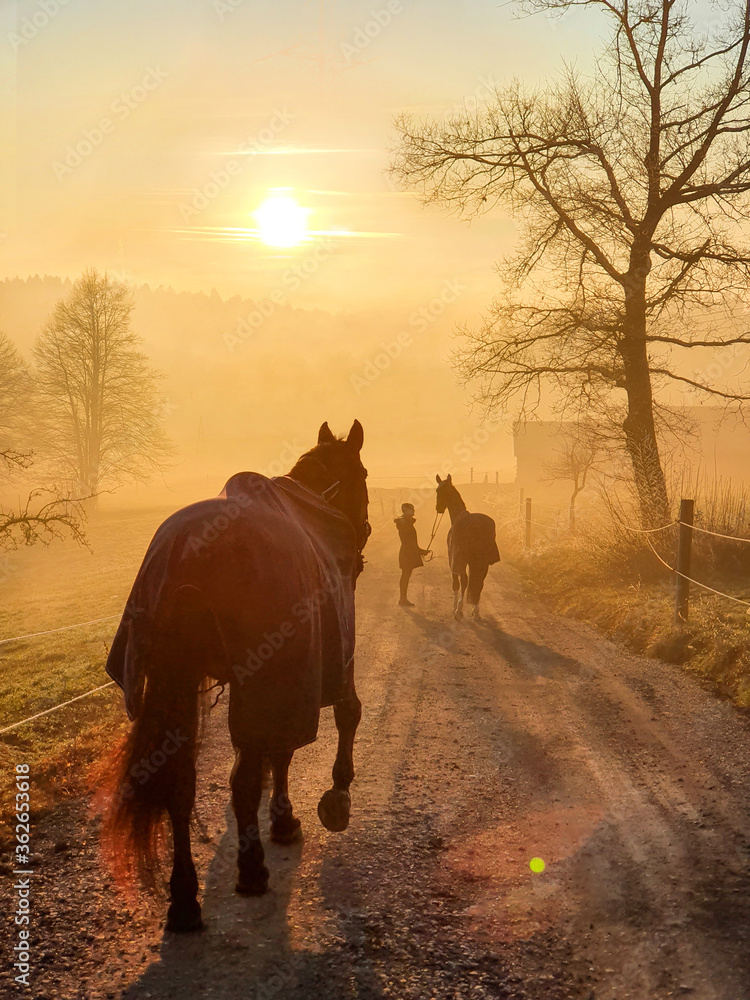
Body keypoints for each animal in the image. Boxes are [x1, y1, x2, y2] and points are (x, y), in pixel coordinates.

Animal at [100, 420, 370, 928]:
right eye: (362, 476)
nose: (363, 536)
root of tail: (190, 552)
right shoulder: (306, 672)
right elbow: (339, 718)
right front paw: (322, 801)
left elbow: (273, 754)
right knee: (242, 779)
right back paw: (251, 869)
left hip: (180, 683)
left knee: (180, 783)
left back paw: (184, 898)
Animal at [434, 474, 500, 616]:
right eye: (437, 490)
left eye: (441, 491)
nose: (438, 508)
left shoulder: (454, 560)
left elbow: (456, 583)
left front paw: (455, 607)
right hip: (482, 563)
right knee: (479, 583)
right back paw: (475, 611)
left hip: (463, 560)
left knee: (465, 581)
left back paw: (459, 609)